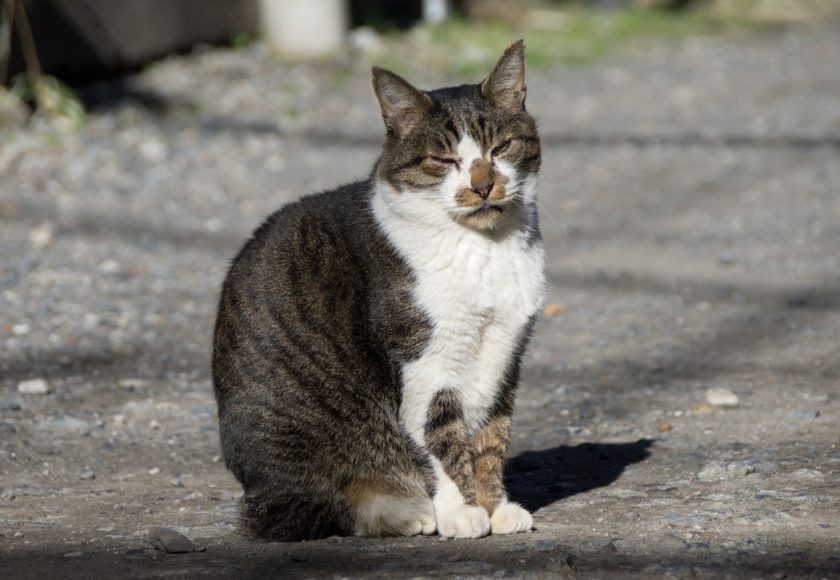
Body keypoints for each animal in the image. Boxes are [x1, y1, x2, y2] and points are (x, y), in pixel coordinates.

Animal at [212, 40, 544, 544]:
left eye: (500, 147)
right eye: (444, 160)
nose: (483, 185)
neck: (485, 251)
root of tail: (257, 488)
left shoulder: (504, 356)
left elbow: (490, 438)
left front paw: (496, 507)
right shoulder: (426, 364)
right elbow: (440, 437)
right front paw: (464, 512)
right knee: (323, 507)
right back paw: (410, 512)